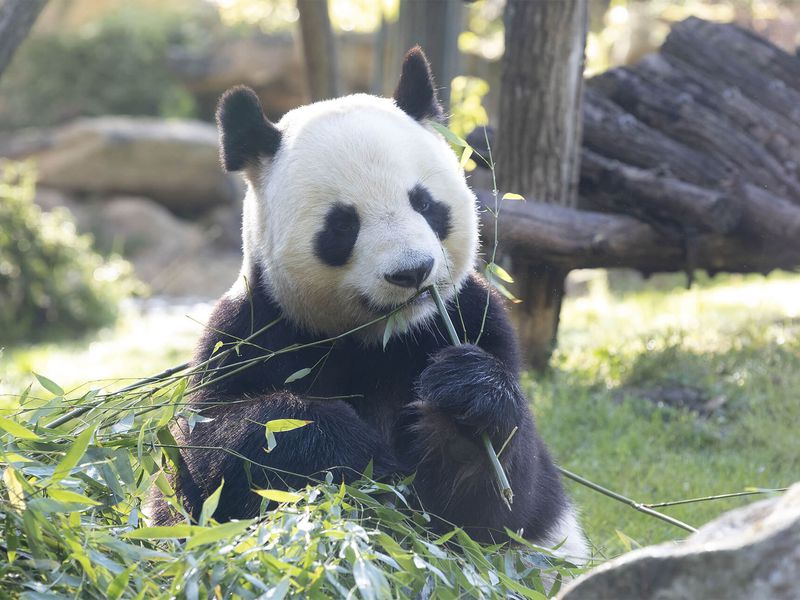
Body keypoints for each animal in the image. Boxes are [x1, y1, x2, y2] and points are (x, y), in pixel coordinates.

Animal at [150, 47, 588, 564]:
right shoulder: (247, 334)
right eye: (343, 224)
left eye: (425, 203)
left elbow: (505, 503)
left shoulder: (474, 317)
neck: (379, 338)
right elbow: (208, 454)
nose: (412, 271)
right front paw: (349, 450)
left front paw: (465, 401)